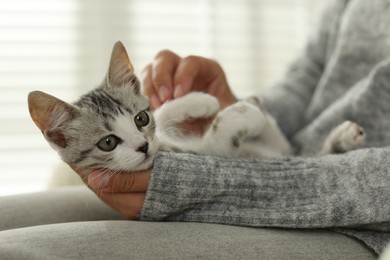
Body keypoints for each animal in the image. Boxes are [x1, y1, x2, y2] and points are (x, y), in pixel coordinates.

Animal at [27, 42, 366, 177]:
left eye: (140, 119)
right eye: (107, 142)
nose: (143, 146)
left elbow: (165, 113)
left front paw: (198, 100)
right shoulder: (207, 153)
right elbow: (217, 136)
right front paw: (238, 115)